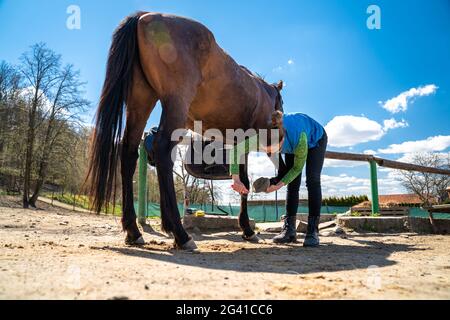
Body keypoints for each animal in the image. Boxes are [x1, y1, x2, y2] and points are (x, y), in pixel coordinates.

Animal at [86, 12, 284, 250]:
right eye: (281, 103)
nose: (281, 135)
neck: (260, 93)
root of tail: (144, 16)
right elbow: (244, 183)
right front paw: (247, 229)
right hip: (175, 105)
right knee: (162, 151)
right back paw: (181, 234)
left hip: (141, 102)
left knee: (129, 154)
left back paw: (134, 231)